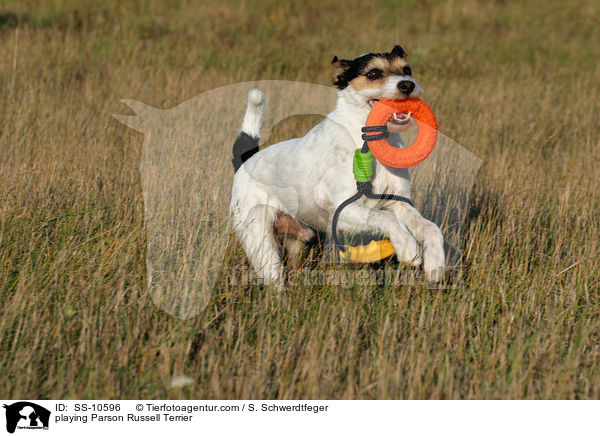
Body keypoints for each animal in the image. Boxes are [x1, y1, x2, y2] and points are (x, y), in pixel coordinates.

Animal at [230, 46, 446, 284]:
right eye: (373, 73)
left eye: (407, 69)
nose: (407, 85)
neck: (370, 142)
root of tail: (247, 161)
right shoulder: (343, 210)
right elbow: (386, 218)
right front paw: (408, 248)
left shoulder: (398, 202)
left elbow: (430, 227)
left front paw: (435, 262)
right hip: (260, 241)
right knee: (273, 276)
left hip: (298, 238)